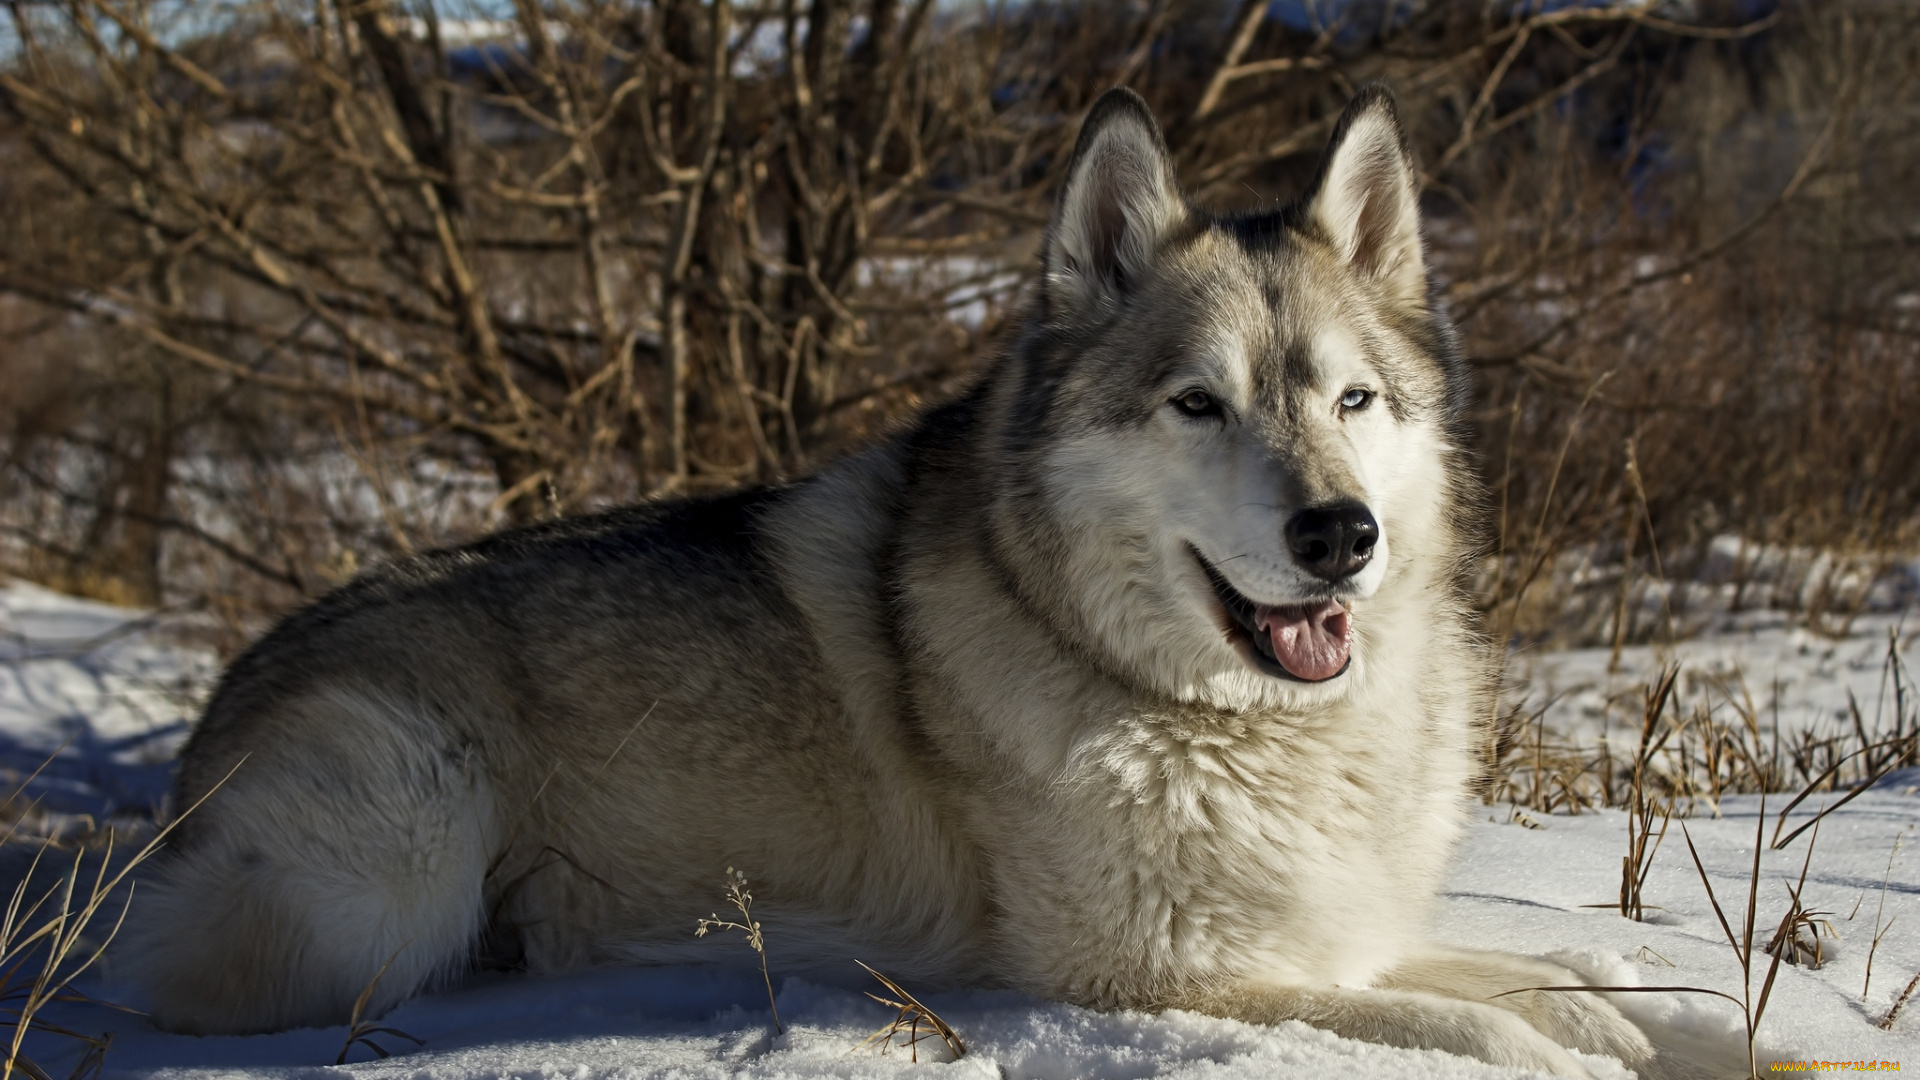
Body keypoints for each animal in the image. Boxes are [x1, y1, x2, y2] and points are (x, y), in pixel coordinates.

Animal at [131, 85, 1666, 1076]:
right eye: (1197, 405)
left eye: (1353, 401)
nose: (1339, 535)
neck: (1230, 725)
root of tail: (228, 696)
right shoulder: (1151, 977)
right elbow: (1477, 1024)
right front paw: (1561, 1048)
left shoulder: (1328, 932)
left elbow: (1555, 979)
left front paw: (1640, 1014)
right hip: (402, 864)